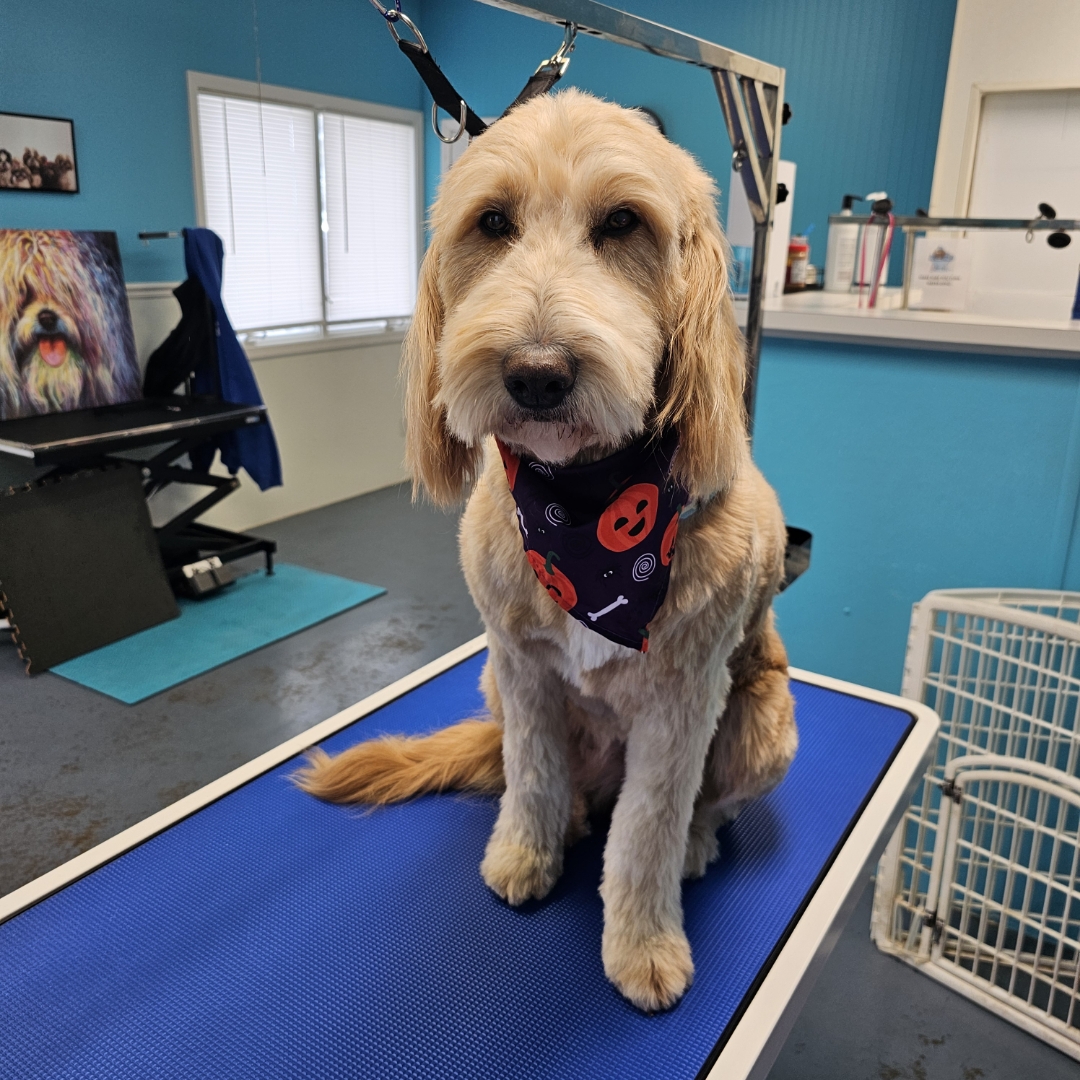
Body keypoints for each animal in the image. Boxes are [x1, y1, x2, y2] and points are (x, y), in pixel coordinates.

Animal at [297, 89, 797, 1012]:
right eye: (492, 222)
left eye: (624, 222)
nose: (535, 372)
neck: (584, 511)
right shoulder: (520, 666)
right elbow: (531, 773)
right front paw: (523, 856)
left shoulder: (683, 701)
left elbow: (649, 826)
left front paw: (642, 944)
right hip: (493, 687)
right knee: (548, 778)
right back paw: (565, 821)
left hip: (763, 725)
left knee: (701, 808)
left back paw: (696, 846)